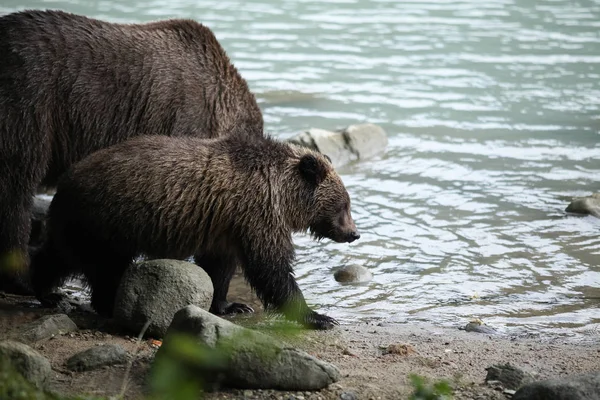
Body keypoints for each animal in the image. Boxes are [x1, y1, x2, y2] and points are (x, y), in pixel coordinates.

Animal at [30, 134, 360, 328]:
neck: (283, 193)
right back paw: (100, 302)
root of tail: (66, 179)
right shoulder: (258, 214)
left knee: (61, 254)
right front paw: (319, 316)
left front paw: (232, 305)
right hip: (106, 219)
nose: (354, 233)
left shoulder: (226, 226)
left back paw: (46, 291)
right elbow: (271, 267)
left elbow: (220, 268)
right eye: (343, 204)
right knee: (98, 264)